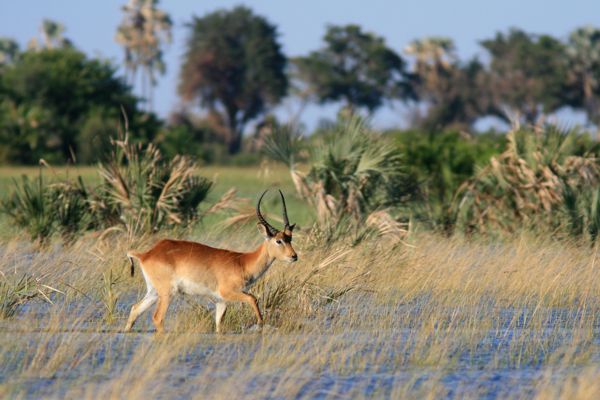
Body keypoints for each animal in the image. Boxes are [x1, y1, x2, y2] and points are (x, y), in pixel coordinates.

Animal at [123, 189, 298, 332]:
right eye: (278, 240)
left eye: (290, 238)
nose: (294, 256)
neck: (242, 262)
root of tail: (147, 254)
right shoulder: (229, 293)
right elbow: (253, 298)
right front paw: (261, 323)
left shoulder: (221, 302)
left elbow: (219, 326)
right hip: (167, 293)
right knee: (157, 318)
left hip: (153, 292)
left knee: (134, 309)